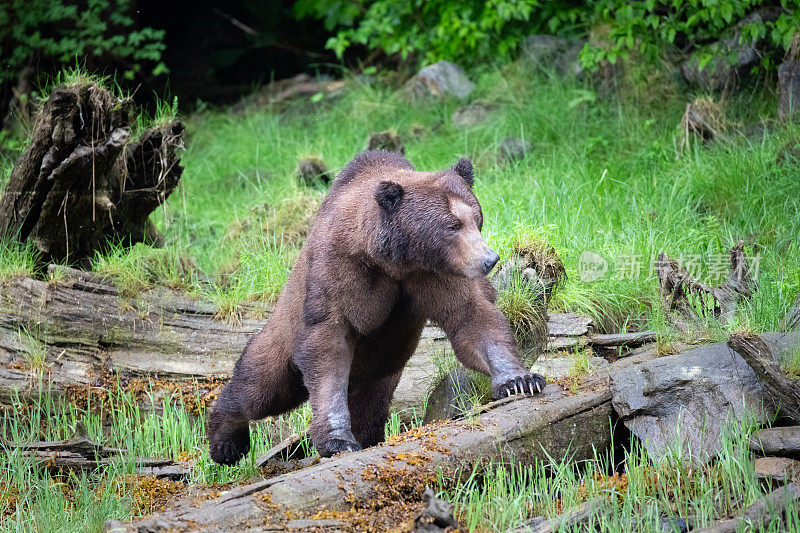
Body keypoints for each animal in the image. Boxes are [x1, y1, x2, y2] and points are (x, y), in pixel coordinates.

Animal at [208, 148, 544, 464]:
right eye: (452, 225)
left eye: (477, 218)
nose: (489, 259)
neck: (392, 260)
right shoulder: (340, 269)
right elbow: (327, 341)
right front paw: (338, 439)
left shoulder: (435, 274)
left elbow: (472, 317)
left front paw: (521, 381)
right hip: (285, 332)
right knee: (262, 387)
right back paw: (225, 442)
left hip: (378, 373)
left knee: (370, 405)